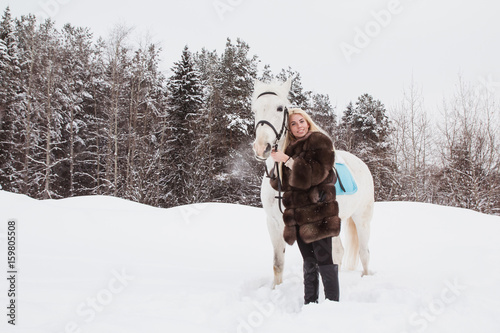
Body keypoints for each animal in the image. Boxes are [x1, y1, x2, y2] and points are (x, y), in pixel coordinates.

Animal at [252, 78, 374, 286]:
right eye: (254, 110)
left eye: (279, 108)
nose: (262, 147)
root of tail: (362, 164)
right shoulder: (273, 224)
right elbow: (278, 264)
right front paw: (276, 289)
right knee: (339, 252)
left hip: (362, 218)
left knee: (365, 253)